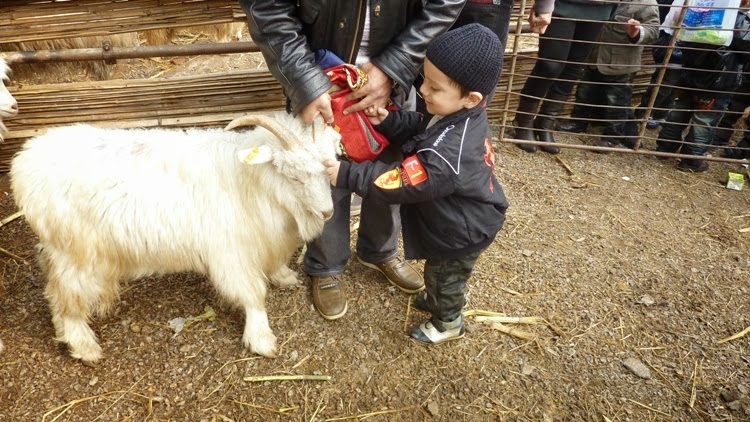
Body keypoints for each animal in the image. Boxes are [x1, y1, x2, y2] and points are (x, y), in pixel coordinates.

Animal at [11, 113, 340, 362]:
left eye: (328, 168)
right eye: (293, 175)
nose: (327, 212)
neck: (249, 180)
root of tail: (23, 166)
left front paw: (284, 277)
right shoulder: (231, 251)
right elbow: (252, 294)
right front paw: (261, 338)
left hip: (60, 249)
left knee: (53, 288)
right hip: (80, 255)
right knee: (66, 294)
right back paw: (84, 346)